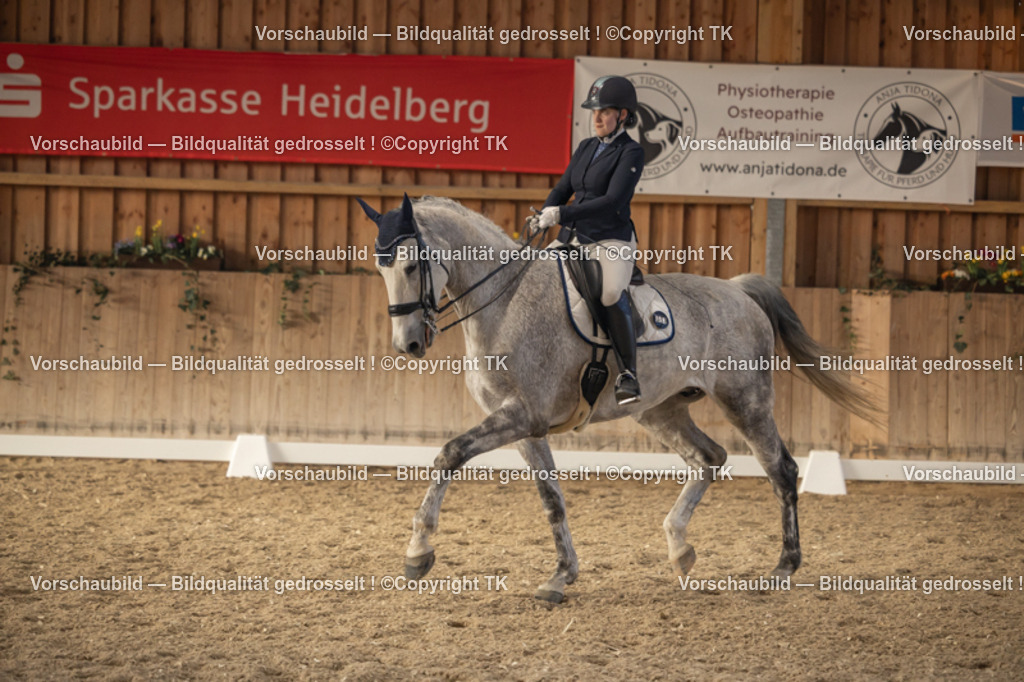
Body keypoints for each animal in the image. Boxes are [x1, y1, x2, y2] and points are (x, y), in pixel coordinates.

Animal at [358, 194, 877, 603]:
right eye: (380, 269)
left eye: (411, 265)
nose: (408, 344)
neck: (504, 302)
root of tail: (738, 291)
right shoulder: (526, 426)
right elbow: (552, 499)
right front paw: (561, 576)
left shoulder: (519, 416)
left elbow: (449, 454)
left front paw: (418, 552)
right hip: (662, 410)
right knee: (709, 457)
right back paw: (679, 548)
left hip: (745, 400)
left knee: (780, 470)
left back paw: (783, 567)